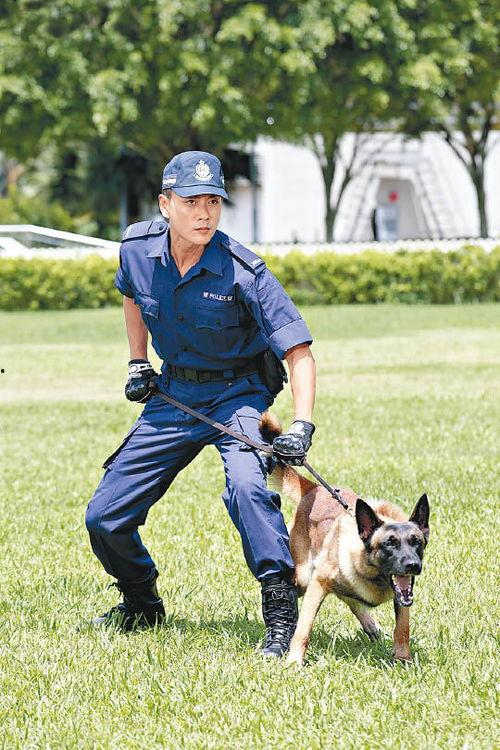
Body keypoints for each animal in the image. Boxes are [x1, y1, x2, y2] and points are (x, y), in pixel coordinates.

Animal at [260, 413, 430, 667]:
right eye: (390, 543)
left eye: (416, 542)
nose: (413, 565)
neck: (373, 575)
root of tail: (314, 488)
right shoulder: (318, 583)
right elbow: (303, 629)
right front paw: (294, 662)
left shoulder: (403, 594)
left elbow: (402, 628)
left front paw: (403, 660)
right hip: (304, 577)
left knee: (348, 597)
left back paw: (370, 625)